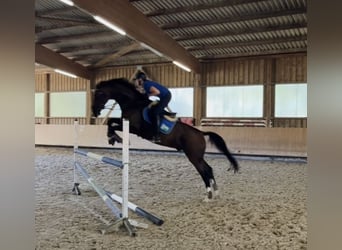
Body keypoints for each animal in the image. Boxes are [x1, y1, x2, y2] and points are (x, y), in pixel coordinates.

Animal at [92, 77, 239, 199]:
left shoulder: (134, 128)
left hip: (193, 155)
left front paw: (115, 137)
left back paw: (209, 194)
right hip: (197, 156)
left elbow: (112, 123)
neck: (133, 103)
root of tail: (200, 133)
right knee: (208, 169)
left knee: (204, 170)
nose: (94, 112)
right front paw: (112, 138)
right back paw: (216, 192)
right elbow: (111, 121)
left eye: (99, 94)